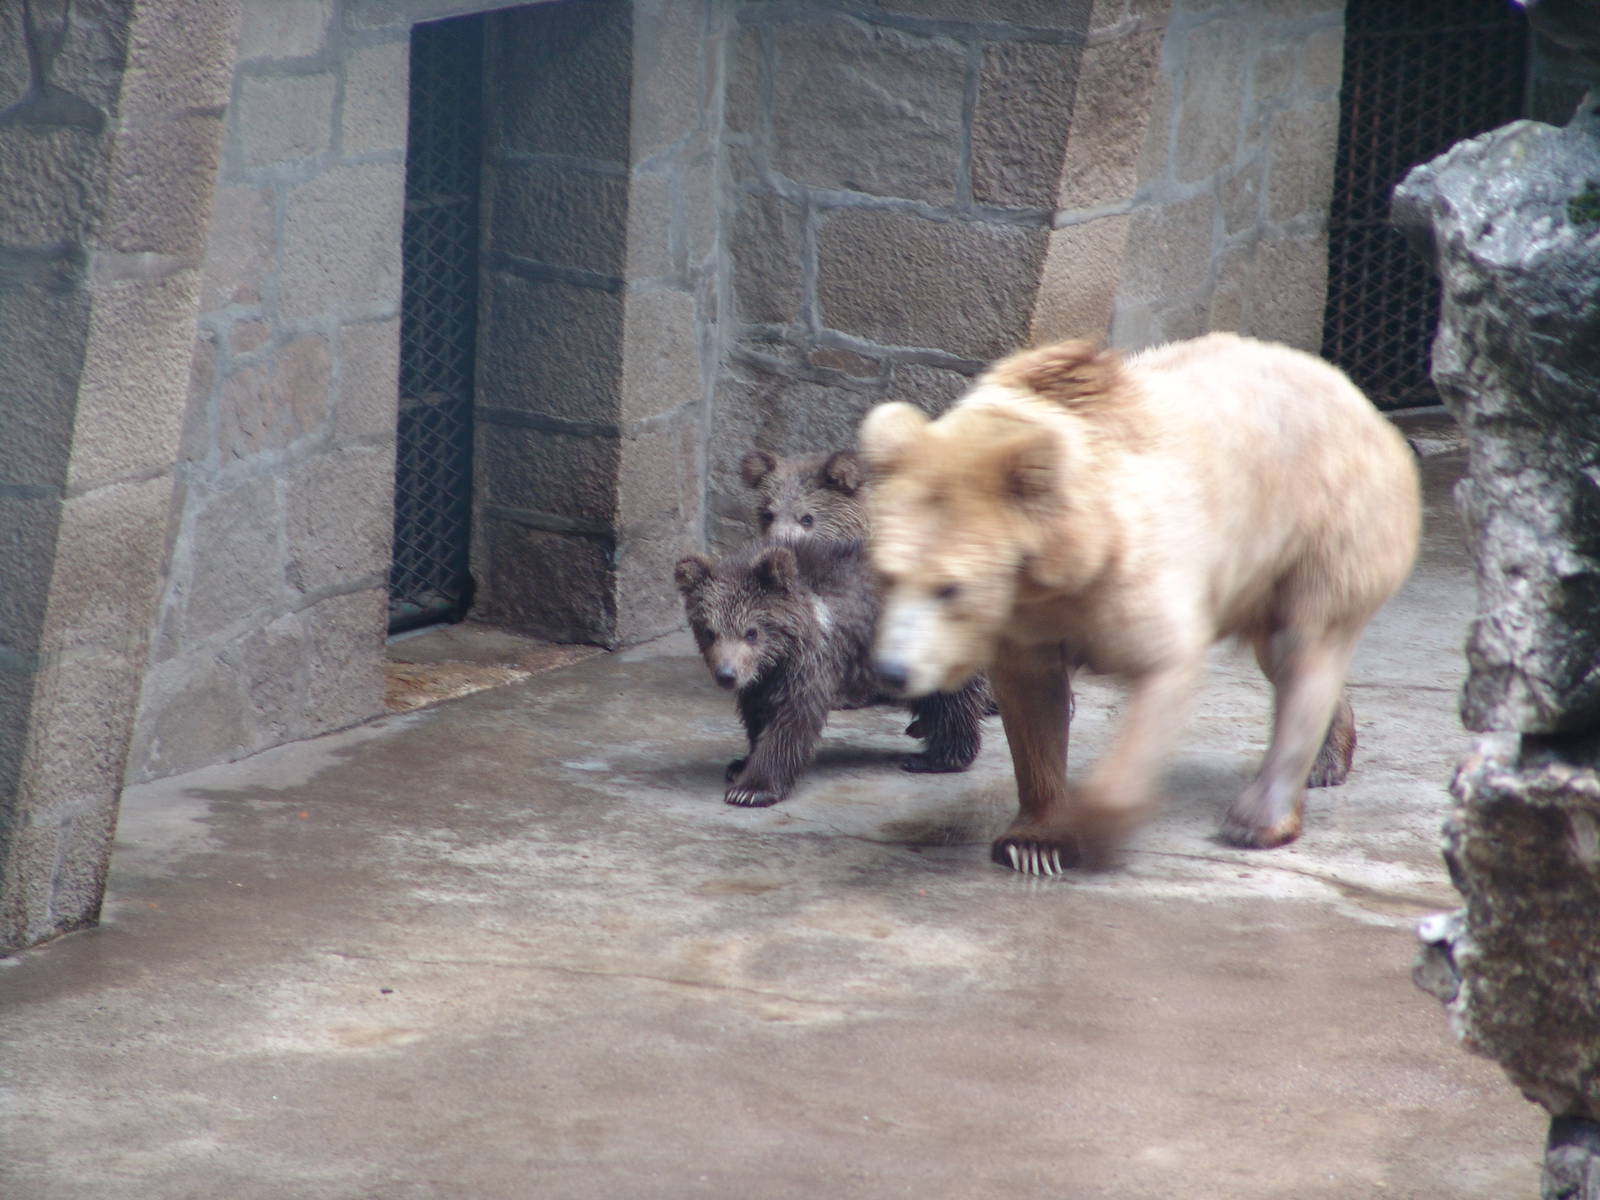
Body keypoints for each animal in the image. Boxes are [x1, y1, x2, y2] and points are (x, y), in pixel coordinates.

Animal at [674, 537, 985, 808]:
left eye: (751, 632)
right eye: (710, 631)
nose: (727, 675)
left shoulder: (811, 661)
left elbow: (792, 719)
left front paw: (752, 789)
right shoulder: (761, 679)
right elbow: (757, 715)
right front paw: (741, 764)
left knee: (950, 701)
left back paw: (934, 757)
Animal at [858, 332, 1422, 874]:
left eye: (950, 587)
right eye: (887, 573)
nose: (893, 670)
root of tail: (1356, 395)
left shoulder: (1137, 573)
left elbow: (1159, 670)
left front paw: (1096, 822)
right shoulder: (1028, 624)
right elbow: (1033, 705)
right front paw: (1033, 842)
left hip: (1327, 525)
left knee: (1303, 648)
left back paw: (1263, 815)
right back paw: (1328, 756)